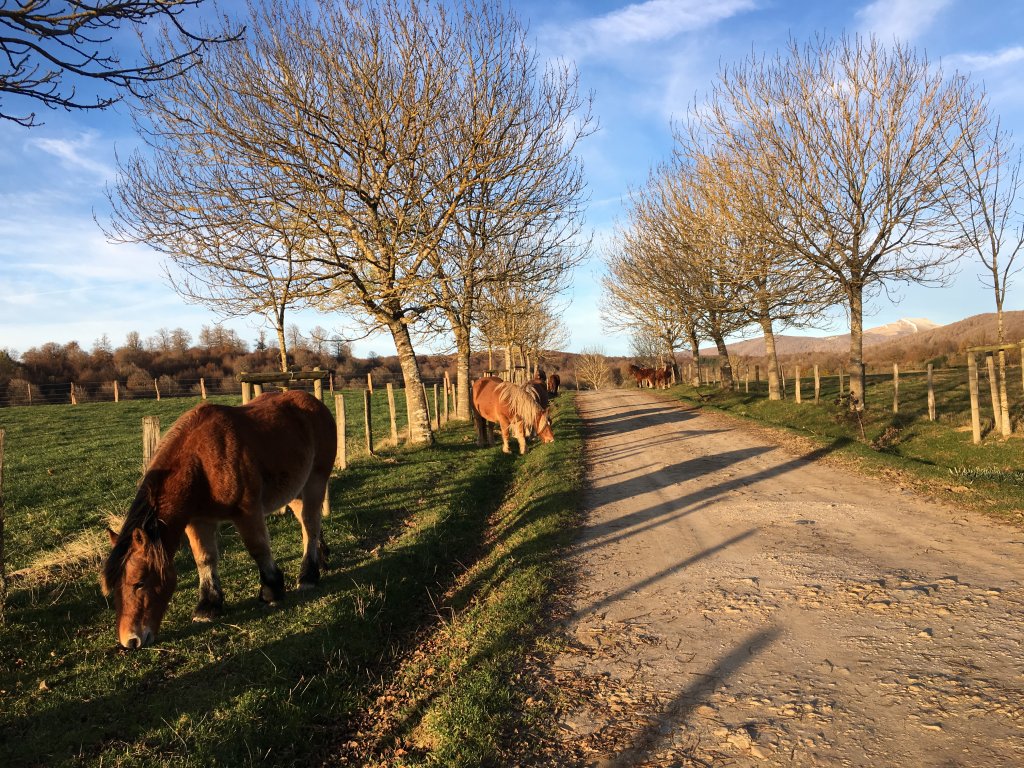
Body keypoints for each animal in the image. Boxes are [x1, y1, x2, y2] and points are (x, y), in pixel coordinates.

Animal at [99, 391, 333, 651]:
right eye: (114, 589)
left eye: (139, 583)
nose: (131, 640)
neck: (202, 462)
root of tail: (314, 402)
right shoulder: (198, 521)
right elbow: (205, 559)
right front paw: (208, 606)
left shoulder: (247, 513)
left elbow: (258, 549)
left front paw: (271, 591)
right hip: (294, 491)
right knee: (307, 524)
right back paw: (321, 559)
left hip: (315, 482)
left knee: (310, 526)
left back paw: (308, 575)